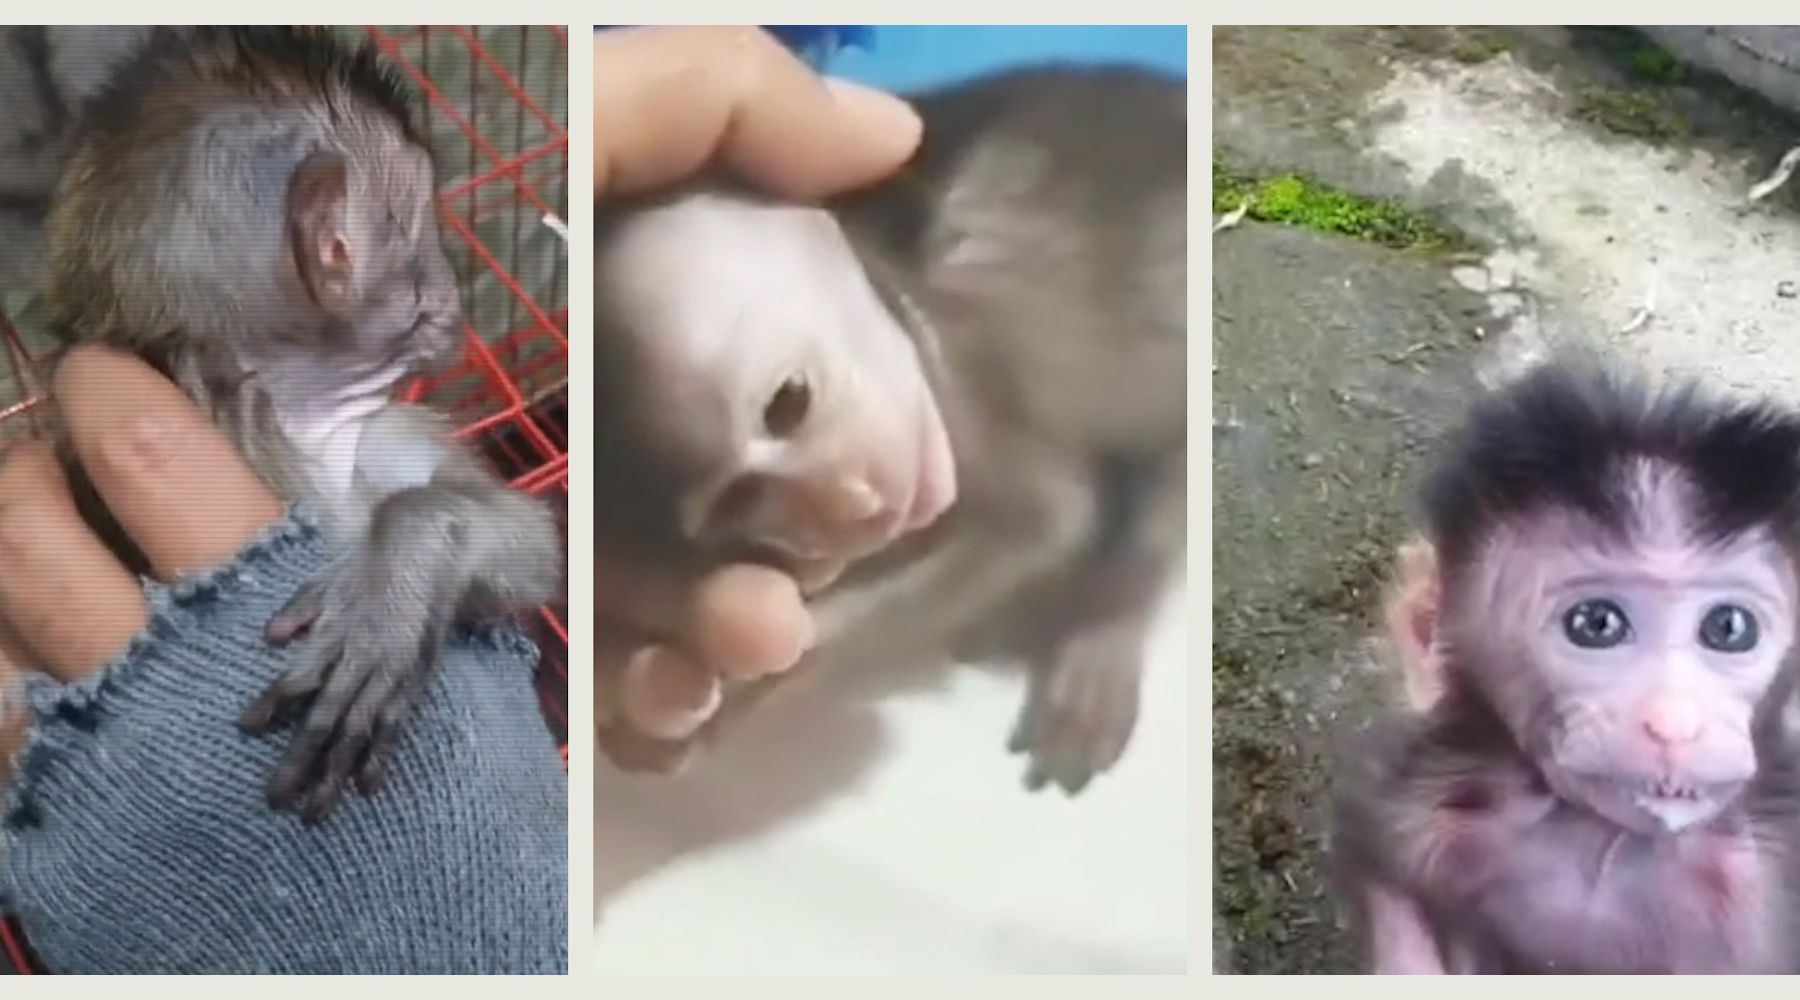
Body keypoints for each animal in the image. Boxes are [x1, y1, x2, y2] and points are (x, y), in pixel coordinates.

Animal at [35, 27, 563, 824]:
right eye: (423, 227)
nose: (452, 291)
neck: (281, 418)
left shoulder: (377, 434)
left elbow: (532, 543)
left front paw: (396, 577)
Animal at [594, 64, 1187, 795]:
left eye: (789, 402)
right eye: (742, 504)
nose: (852, 501)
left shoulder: (962, 379)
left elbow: (1045, 524)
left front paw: (772, 671)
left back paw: (1103, 631)